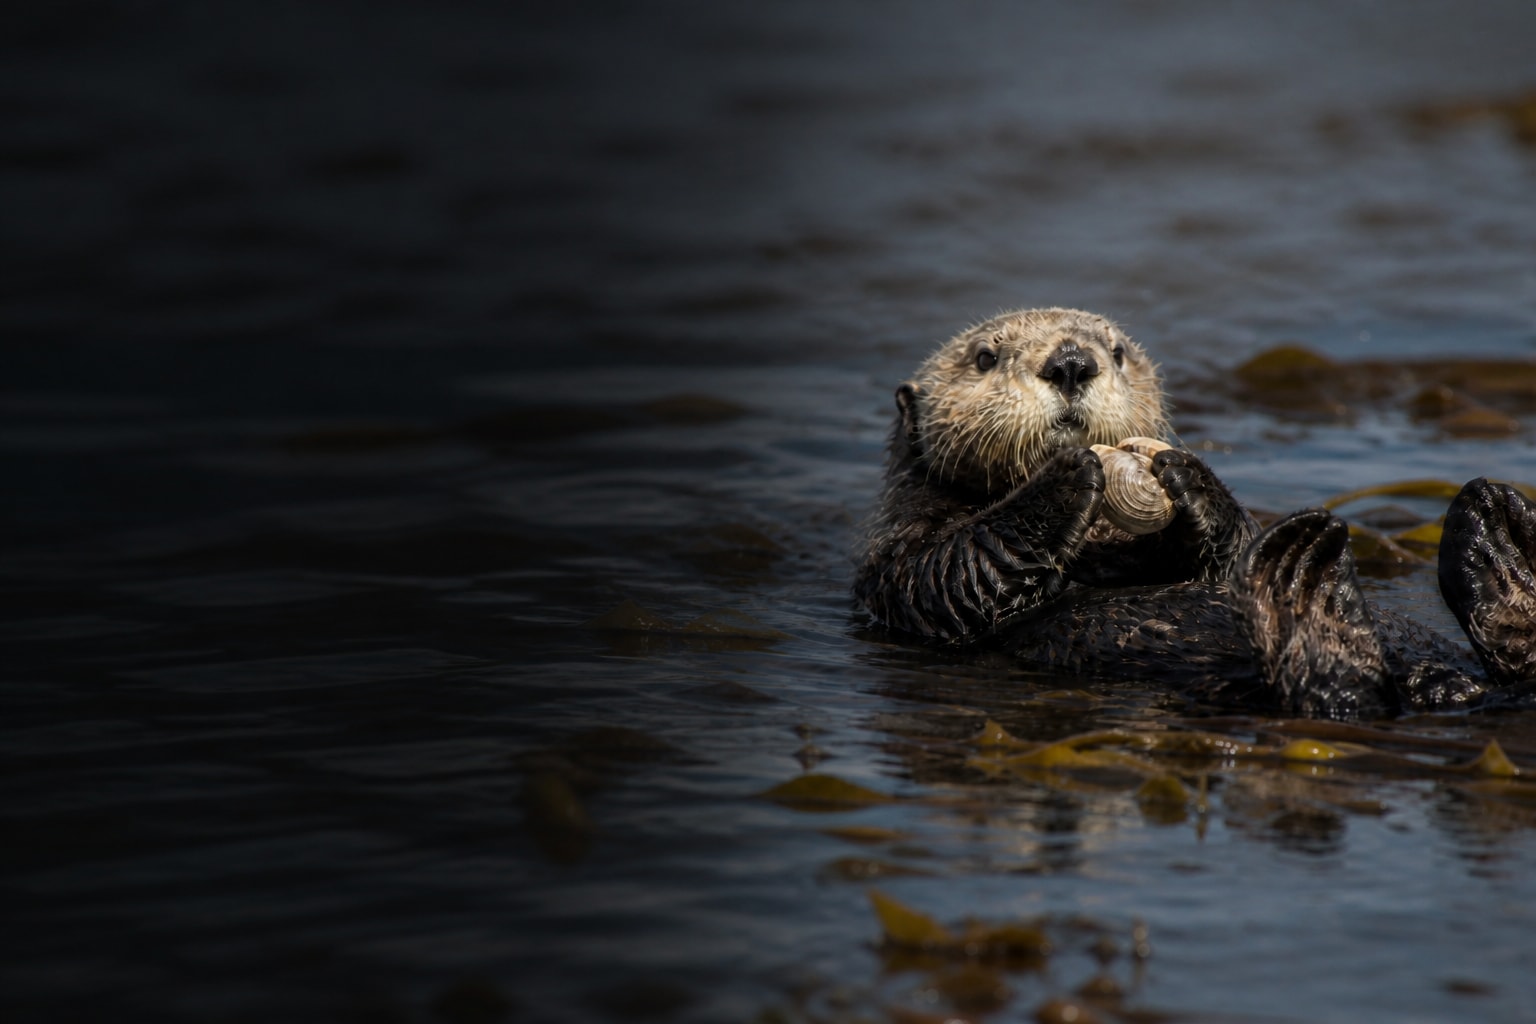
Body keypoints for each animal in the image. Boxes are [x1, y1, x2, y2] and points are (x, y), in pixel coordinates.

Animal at [855, 308, 1536, 719]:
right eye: (984, 358)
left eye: (1117, 351)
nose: (1072, 361)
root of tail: (1450, 687)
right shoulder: (898, 557)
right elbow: (951, 573)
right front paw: (1069, 473)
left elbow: (1227, 561)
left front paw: (1188, 479)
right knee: (1338, 689)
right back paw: (1307, 574)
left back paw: (1493, 526)